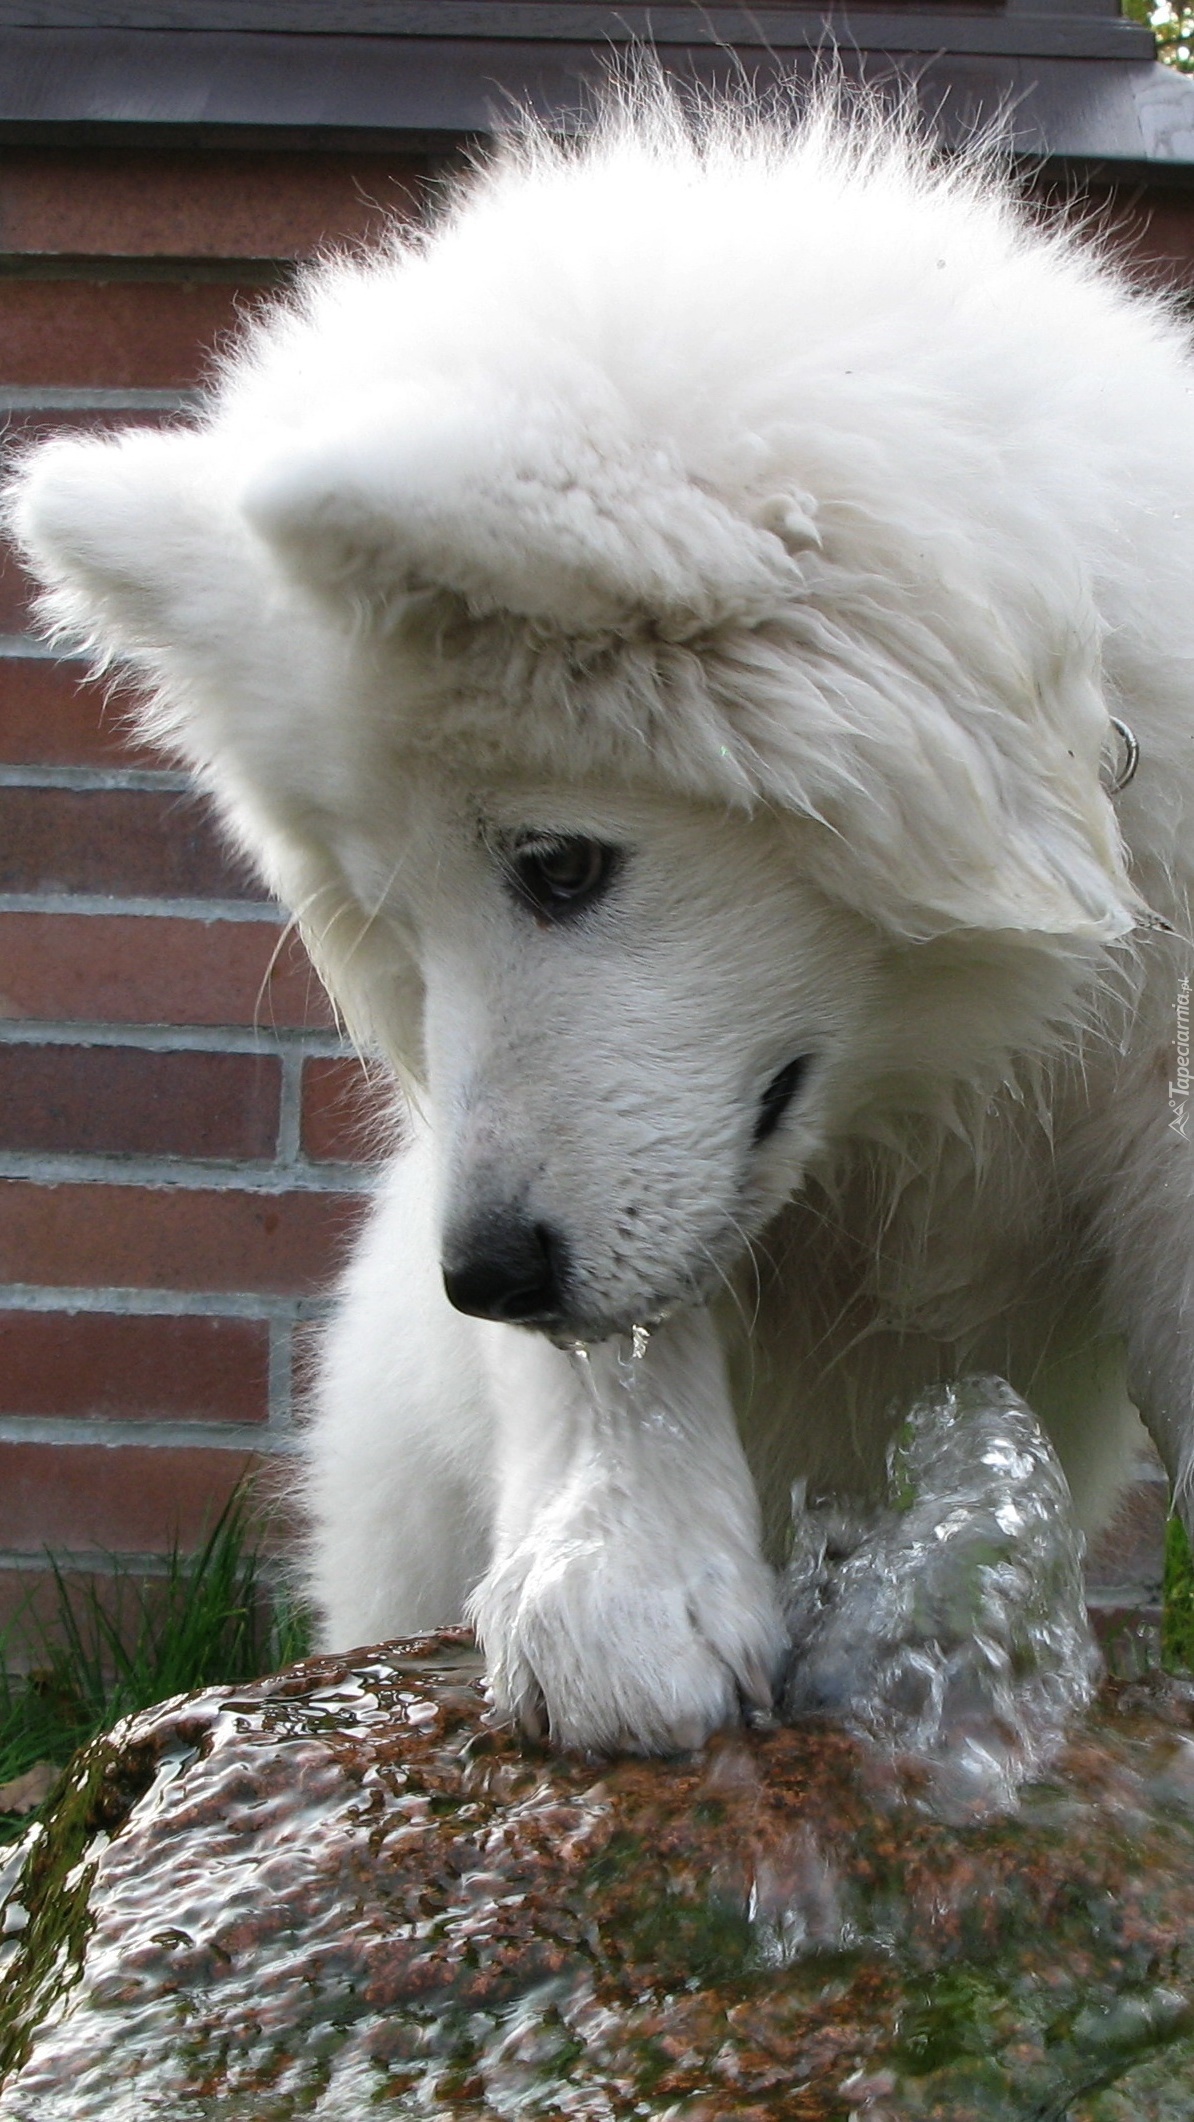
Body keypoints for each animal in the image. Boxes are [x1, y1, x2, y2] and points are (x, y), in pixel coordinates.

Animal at [9, 87, 1194, 1757]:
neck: (934, 1070)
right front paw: (620, 1574)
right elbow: (618, 1356)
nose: (483, 1279)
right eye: (398, 925)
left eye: (560, 867)